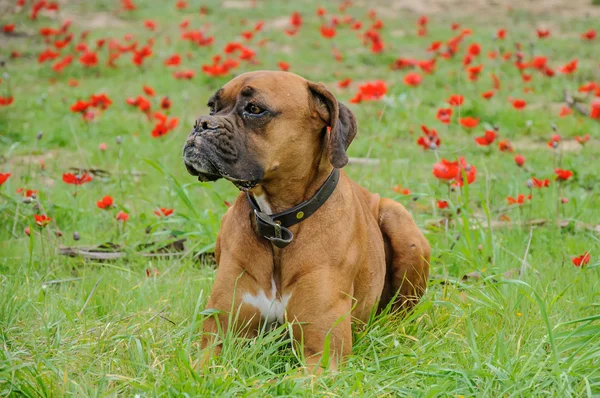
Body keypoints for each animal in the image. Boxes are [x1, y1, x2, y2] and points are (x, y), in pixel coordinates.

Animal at [180, 70, 428, 372]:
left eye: (255, 109)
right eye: (212, 107)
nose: (201, 123)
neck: (279, 225)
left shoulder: (321, 356)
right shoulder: (217, 342)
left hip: (399, 220)